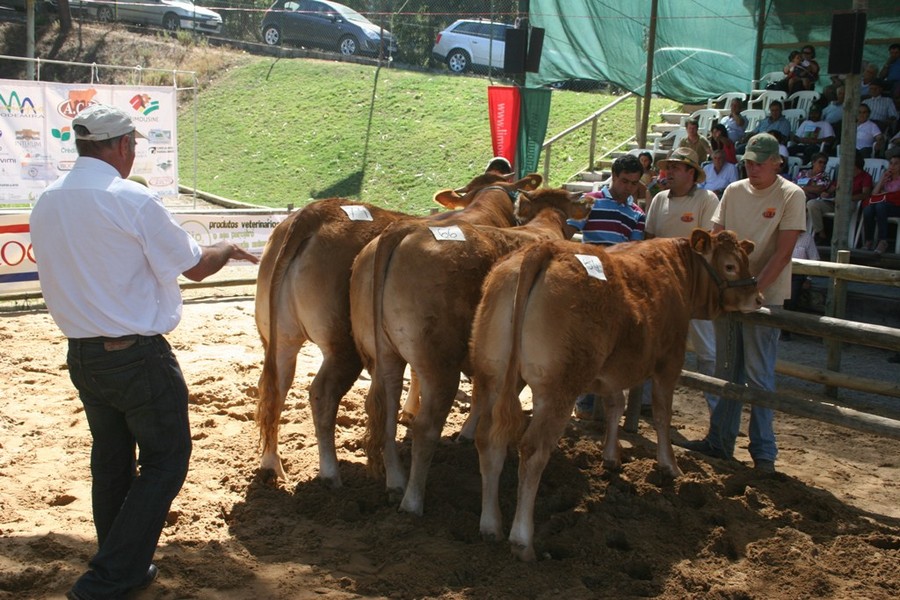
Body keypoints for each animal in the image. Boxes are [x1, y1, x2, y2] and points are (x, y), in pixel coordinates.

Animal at [254, 173, 541, 485]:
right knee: (322, 393)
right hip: (342, 346)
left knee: (274, 387)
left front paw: (408, 411)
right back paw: (331, 473)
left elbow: (413, 373)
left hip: (278, 338)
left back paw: (272, 464)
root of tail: (315, 212)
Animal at [349, 187, 593, 515]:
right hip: (439, 365)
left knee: (386, 414)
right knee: (426, 427)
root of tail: (404, 228)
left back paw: (395, 483)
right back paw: (412, 501)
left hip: (383, 357)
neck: (542, 224)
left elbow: (482, 393)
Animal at [470, 230, 762, 561]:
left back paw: (490, 525)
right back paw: (522, 540)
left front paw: (611, 455)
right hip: (558, 389)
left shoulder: (612, 372)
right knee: (533, 451)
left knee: (488, 440)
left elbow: (615, 405)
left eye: (745, 259)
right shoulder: (669, 360)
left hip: (492, 375)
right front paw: (670, 465)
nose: (757, 298)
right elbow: (662, 414)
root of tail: (545, 249)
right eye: (729, 266)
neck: (677, 271)